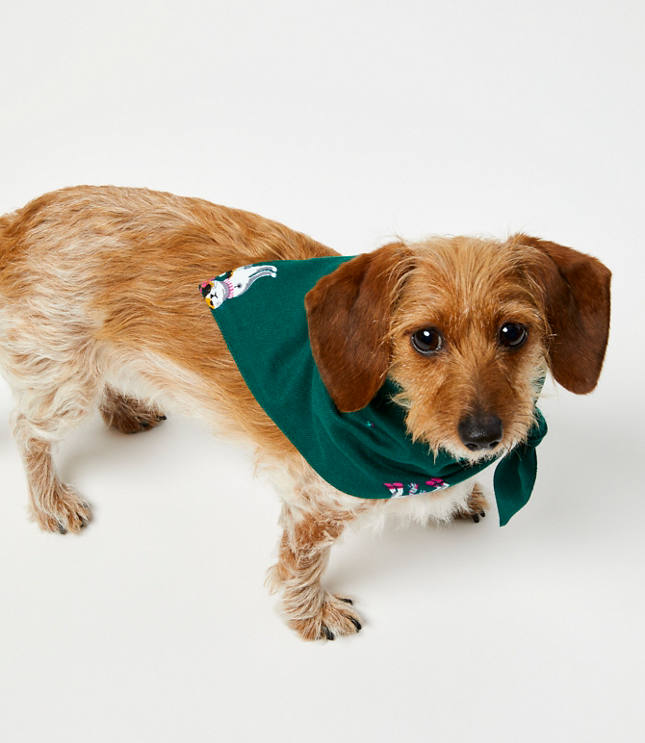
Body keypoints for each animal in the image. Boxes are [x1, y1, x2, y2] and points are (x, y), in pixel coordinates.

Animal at [0, 185, 608, 640]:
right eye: (425, 338)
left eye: (514, 332)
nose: (483, 436)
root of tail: (21, 219)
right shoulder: (314, 502)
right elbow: (301, 563)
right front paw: (312, 616)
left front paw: (463, 497)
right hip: (63, 381)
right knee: (28, 432)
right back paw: (52, 502)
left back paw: (127, 409)